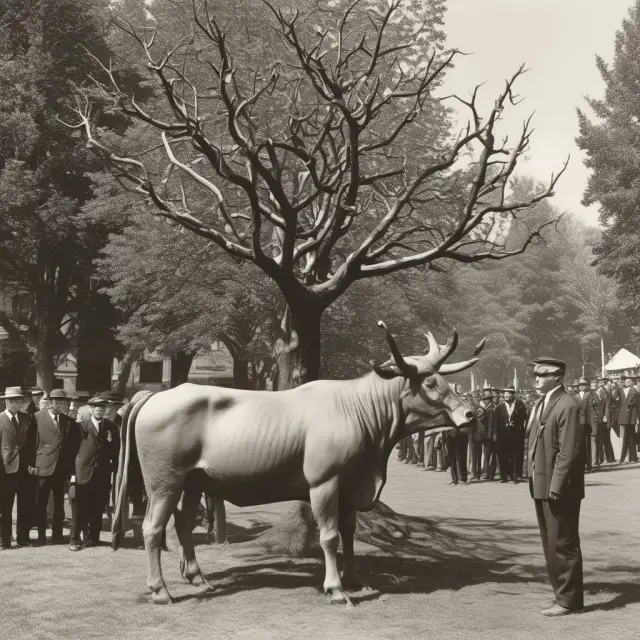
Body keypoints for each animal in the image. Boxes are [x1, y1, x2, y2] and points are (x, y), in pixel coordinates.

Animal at [114, 321, 485, 605]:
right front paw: (336, 589)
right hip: (164, 482)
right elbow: (329, 535)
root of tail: (155, 395)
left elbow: (349, 532)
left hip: (194, 482)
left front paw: (355, 580)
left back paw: (198, 579)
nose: (470, 414)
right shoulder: (325, 483)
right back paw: (161, 591)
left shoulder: (352, 487)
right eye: (431, 383)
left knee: (183, 524)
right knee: (153, 528)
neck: (360, 412)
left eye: (444, 379)